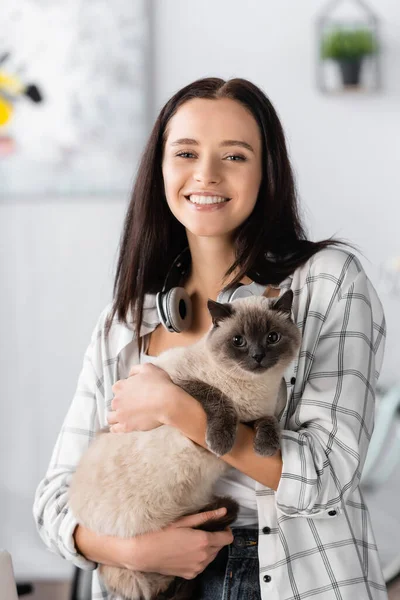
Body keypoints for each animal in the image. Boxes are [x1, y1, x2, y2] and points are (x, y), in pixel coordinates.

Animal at [69, 288, 300, 596]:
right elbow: (217, 398)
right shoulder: (179, 385)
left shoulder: (258, 415)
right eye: (238, 341)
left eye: (272, 337)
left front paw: (265, 447)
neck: (254, 389)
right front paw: (221, 442)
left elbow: (269, 422)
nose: (258, 356)